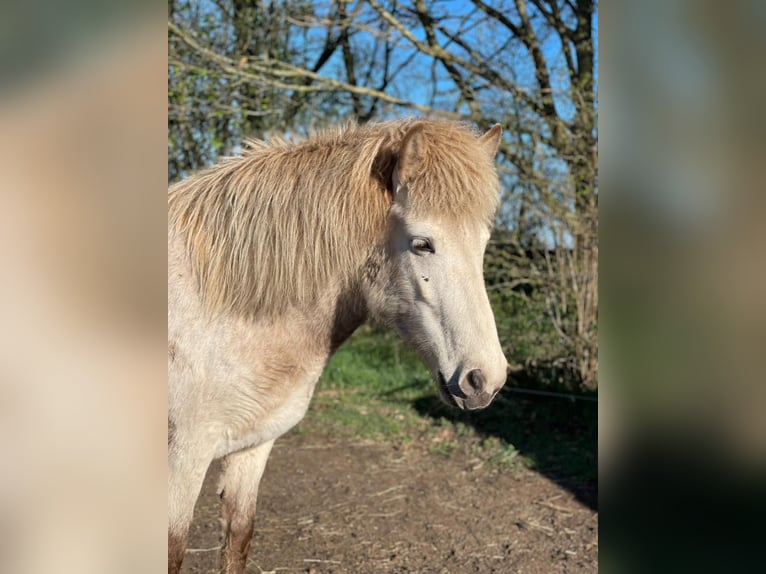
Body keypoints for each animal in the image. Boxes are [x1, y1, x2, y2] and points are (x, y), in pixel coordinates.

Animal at [168, 119, 509, 574]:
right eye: (422, 243)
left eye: (483, 243)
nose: (484, 379)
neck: (222, 306)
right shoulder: (183, 457)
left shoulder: (252, 447)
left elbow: (237, 539)